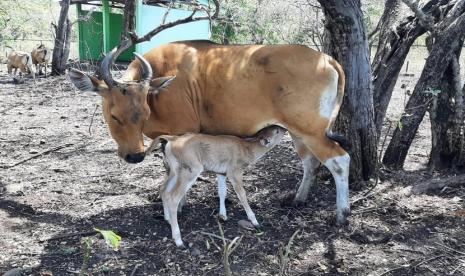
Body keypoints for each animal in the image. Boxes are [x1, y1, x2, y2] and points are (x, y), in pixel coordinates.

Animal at [69, 41, 350, 226]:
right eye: (115, 115)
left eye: (145, 112)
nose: (135, 156)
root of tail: (327, 59)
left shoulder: (182, 133)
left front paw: (178, 206)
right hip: (298, 132)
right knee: (310, 162)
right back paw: (299, 198)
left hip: (312, 132)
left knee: (339, 161)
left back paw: (342, 213)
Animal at [147, 125, 284, 246]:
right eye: (277, 131)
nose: (283, 128)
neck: (247, 149)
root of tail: (172, 139)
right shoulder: (234, 172)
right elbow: (242, 194)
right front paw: (255, 222)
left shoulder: (221, 172)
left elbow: (222, 191)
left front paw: (223, 215)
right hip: (191, 169)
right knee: (173, 197)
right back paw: (179, 241)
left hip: (173, 170)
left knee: (163, 190)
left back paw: (167, 219)